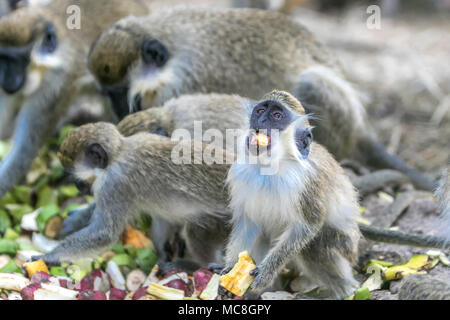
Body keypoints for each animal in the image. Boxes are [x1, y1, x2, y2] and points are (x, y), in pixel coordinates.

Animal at [87, 7, 436, 191]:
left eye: (123, 93)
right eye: (108, 93)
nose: (117, 109)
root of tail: (360, 129)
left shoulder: (186, 83)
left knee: (311, 84)